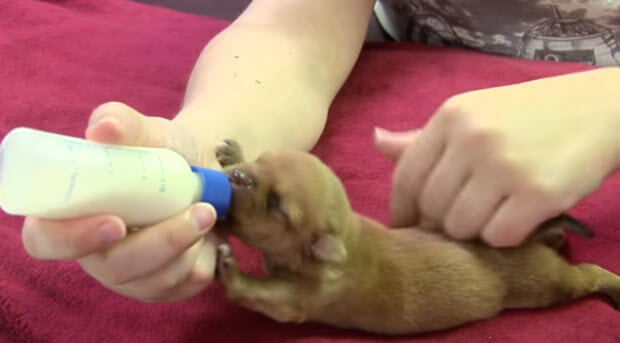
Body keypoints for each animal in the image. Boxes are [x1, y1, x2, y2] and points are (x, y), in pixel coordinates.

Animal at [214, 140, 620, 336]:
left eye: (275, 204)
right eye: (261, 161)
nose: (237, 177)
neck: (347, 236)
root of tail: (526, 243)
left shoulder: (298, 298)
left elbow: (264, 293)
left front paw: (230, 270)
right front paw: (234, 155)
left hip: (548, 284)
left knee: (587, 272)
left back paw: (611, 284)